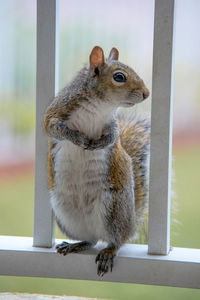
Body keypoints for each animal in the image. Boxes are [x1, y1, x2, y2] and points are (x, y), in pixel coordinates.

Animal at [43, 46, 150, 276]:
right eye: (119, 77)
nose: (146, 93)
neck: (101, 105)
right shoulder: (57, 112)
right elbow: (53, 128)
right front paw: (79, 139)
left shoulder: (112, 125)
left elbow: (112, 137)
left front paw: (97, 144)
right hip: (66, 215)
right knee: (91, 240)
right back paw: (76, 244)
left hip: (115, 210)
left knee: (118, 240)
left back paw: (109, 251)